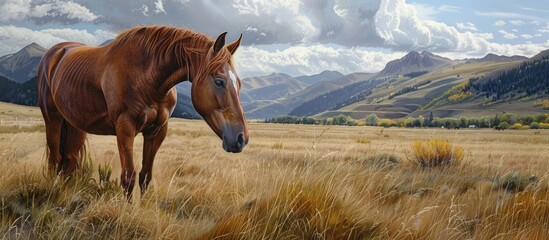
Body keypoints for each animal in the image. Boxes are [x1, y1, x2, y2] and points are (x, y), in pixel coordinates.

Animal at [39, 25, 249, 199]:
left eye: (239, 83)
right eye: (219, 81)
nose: (241, 139)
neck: (147, 78)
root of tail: (57, 51)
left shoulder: (156, 131)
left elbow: (145, 177)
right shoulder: (125, 128)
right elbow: (129, 177)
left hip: (76, 123)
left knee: (69, 160)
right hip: (53, 119)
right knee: (55, 160)